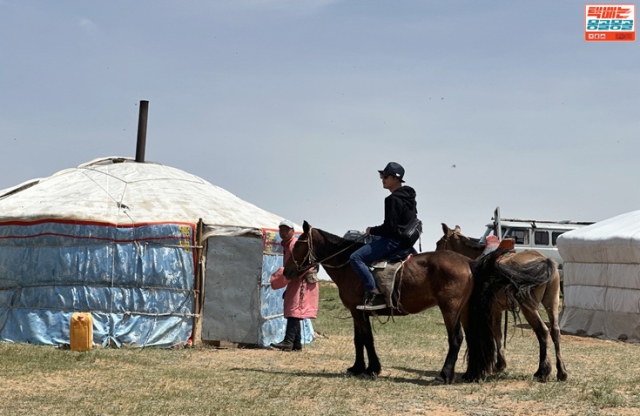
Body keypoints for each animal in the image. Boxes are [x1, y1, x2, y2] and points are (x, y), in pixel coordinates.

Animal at [284, 221, 480, 384]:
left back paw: (443, 376)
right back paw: (469, 374)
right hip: (463, 311)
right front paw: (357, 367)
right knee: (470, 338)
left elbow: (367, 339)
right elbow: (358, 339)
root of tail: (466, 261)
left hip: (450, 309)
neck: (348, 265)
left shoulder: (358, 312)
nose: (286, 272)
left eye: (298, 245)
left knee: (456, 339)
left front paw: (371, 369)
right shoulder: (357, 311)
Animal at [436, 224, 564, 380]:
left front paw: (498, 364)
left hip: (529, 307)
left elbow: (495, 333)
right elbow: (498, 333)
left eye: (438, 243)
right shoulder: (497, 309)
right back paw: (561, 372)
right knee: (555, 331)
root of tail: (545, 261)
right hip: (552, 303)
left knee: (542, 331)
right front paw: (500, 364)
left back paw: (542, 371)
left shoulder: (490, 310)